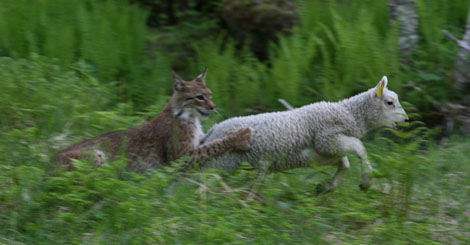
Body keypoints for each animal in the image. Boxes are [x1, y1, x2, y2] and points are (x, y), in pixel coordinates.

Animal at [201, 76, 408, 193]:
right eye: (389, 102)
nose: (406, 120)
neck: (350, 114)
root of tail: (211, 132)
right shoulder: (327, 138)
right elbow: (360, 148)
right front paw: (365, 182)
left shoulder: (326, 153)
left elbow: (345, 164)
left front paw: (327, 187)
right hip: (222, 163)